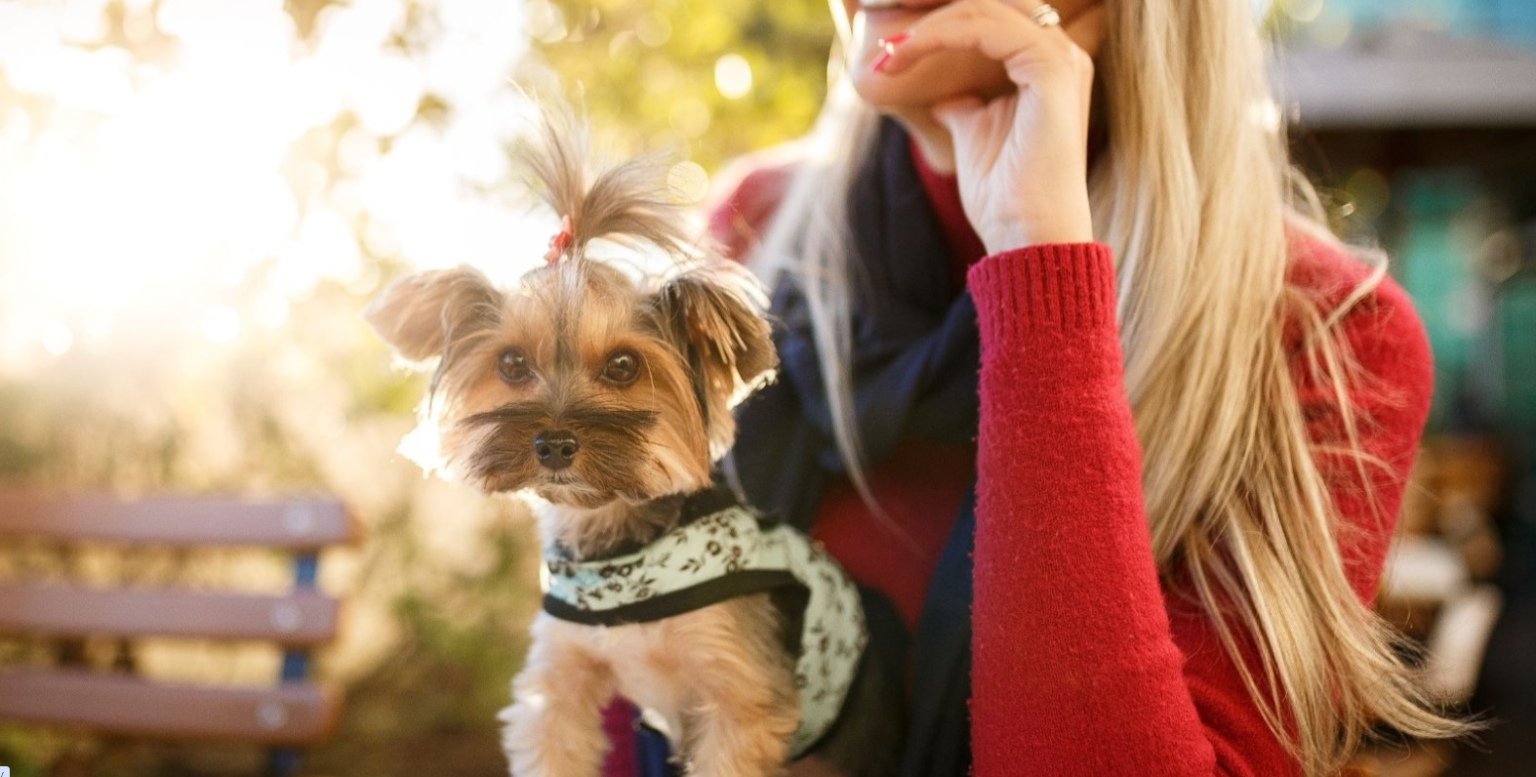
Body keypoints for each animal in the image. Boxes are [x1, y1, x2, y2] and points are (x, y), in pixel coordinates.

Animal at [365, 107, 897, 777]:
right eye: (511, 363)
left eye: (623, 365)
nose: (554, 444)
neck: (617, 549)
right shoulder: (560, 677)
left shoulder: (740, 697)